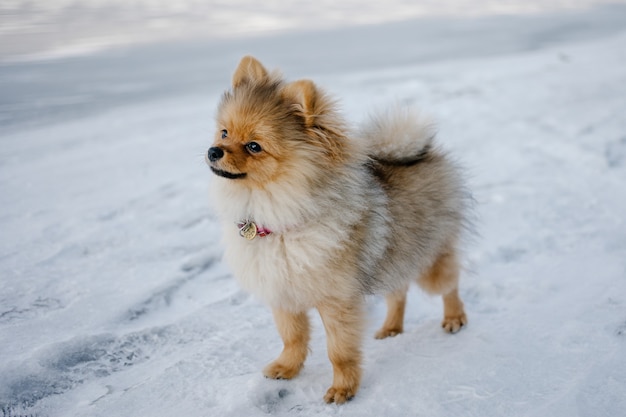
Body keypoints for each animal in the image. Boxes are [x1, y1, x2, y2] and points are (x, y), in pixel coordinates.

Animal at [205, 55, 468, 404]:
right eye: (224, 133)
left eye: (253, 146)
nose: (213, 151)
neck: (275, 216)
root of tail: (421, 152)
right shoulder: (283, 294)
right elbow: (292, 338)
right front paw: (287, 368)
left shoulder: (336, 300)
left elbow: (339, 351)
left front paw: (343, 389)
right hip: (393, 256)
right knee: (398, 293)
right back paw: (392, 328)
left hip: (429, 258)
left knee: (449, 285)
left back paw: (453, 318)